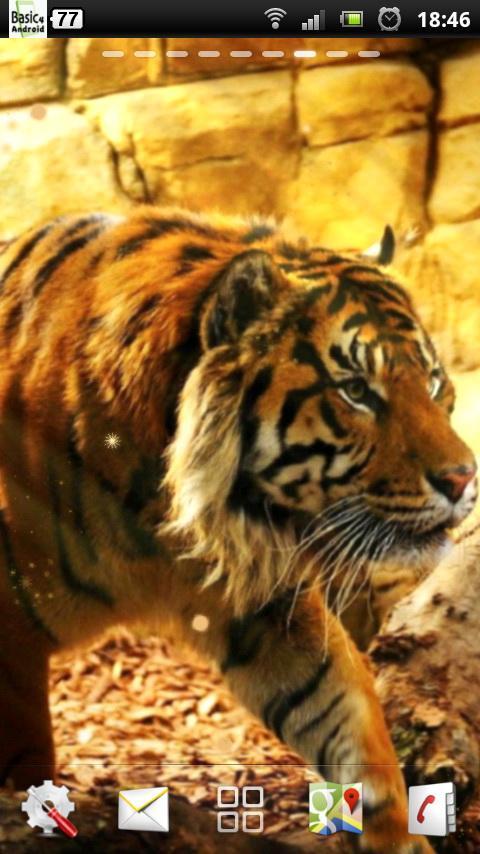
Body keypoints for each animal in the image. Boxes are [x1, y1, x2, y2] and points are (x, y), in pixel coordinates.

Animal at [0, 206, 476, 854]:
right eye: (356, 390)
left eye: (430, 382)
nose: (463, 478)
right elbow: (25, 758)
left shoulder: (265, 598)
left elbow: (348, 712)